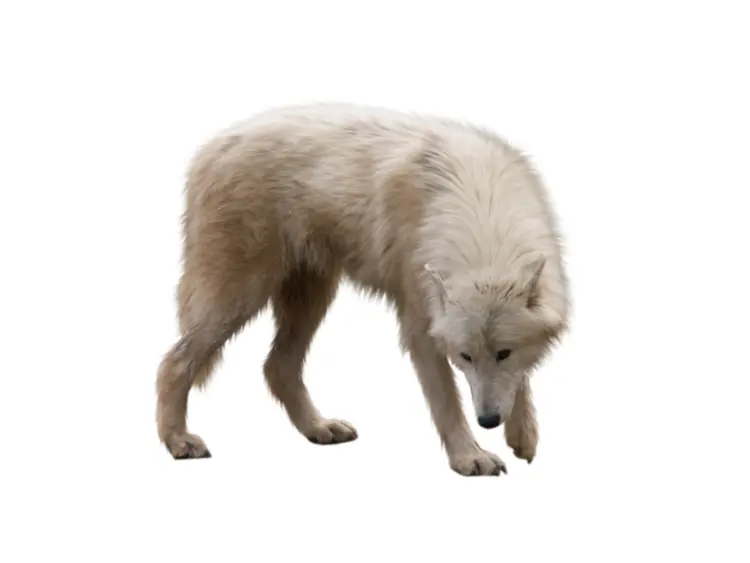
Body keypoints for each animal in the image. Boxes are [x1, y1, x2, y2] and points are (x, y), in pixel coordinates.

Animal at [156, 103, 570, 476]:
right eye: (464, 357)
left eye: (503, 352)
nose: (488, 421)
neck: (482, 210)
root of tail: (211, 147)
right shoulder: (420, 327)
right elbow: (447, 402)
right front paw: (470, 457)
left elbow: (519, 379)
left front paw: (523, 436)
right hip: (239, 294)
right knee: (174, 362)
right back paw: (178, 440)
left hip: (312, 294)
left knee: (277, 367)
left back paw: (319, 428)